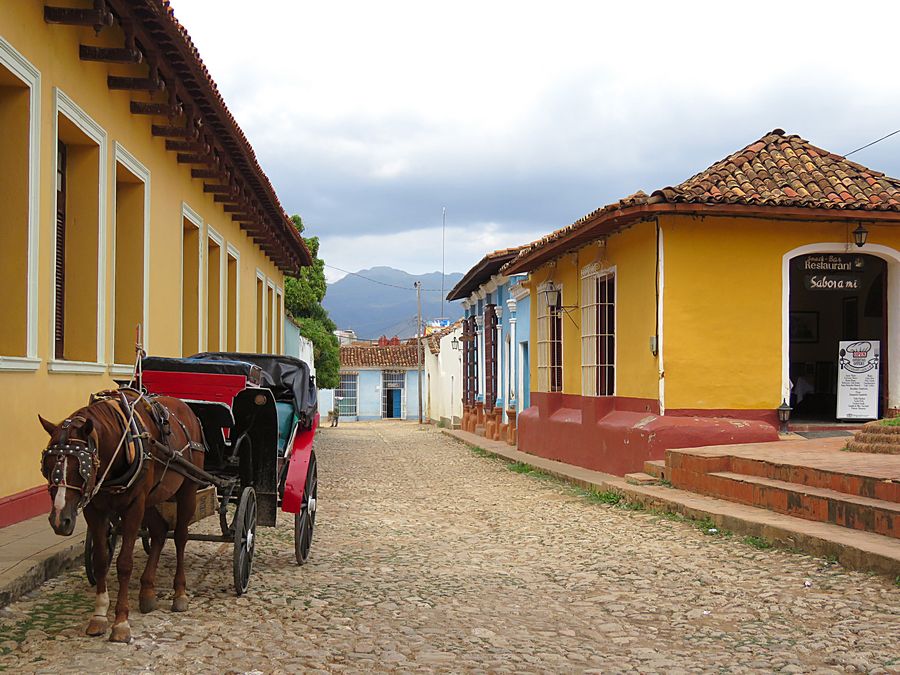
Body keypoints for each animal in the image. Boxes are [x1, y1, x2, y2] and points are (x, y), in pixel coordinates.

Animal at [38, 390, 204, 644]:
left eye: (80, 468)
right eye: (46, 467)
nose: (59, 520)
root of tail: (186, 409)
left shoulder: (133, 507)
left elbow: (124, 564)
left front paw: (121, 622)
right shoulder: (95, 509)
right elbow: (100, 560)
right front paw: (98, 616)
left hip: (187, 489)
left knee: (180, 537)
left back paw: (179, 593)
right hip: (152, 498)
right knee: (159, 532)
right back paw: (147, 591)